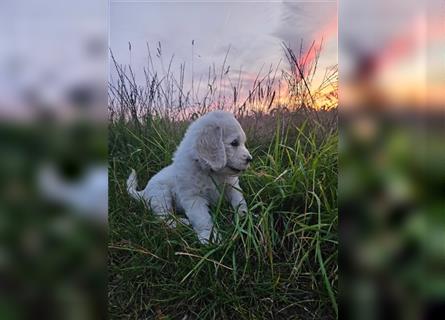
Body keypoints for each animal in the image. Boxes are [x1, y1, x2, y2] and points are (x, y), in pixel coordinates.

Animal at [126, 111, 251, 244]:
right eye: (234, 143)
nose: (250, 159)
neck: (210, 172)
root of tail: (144, 192)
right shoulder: (193, 198)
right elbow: (203, 219)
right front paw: (210, 238)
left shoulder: (232, 187)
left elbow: (239, 202)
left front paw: (244, 218)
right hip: (160, 195)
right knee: (163, 217)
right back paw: (182, 223)